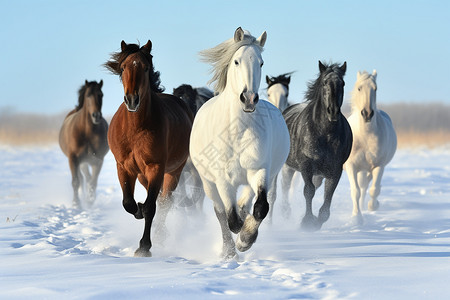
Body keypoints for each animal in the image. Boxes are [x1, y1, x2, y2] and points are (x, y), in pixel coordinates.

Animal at [58, 79, 108, 209]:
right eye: (88, 95)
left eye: (101, 95)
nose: (96, 116)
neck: (87, 132)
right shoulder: (73, 159)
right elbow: (76, 181)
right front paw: (76, 203)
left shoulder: (98, 160)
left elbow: (93, 182)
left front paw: (90, 200)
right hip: (81, 162)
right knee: (81, 178)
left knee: (88, 178)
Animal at [105, 40, 193, 258]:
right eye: (123, 67)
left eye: (145, 67)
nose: (132, 100)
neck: (136, 128)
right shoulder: (124, 167)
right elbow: (128, 202)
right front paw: (138, 209)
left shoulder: (156, 167)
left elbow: (152, 207)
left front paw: (144, 246)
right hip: (143, 175)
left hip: (173, 172)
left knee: (164, 201)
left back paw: (160, 233)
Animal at [189, 27, 288, 258]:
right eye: (236, 61)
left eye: (261, 62)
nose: (249, 98)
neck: (237, 132)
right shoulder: (222, 180)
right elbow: (231, 219)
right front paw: (239, 241)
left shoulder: (259, 170)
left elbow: (260, 208)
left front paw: (246, 239)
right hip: (208, 183)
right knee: (220, 213)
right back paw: (228, 251)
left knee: (246, 202)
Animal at [284, 60, 354, 230]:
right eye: (324, 83)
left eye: (342, 83)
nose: (333, 111)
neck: (325, 133)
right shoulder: (306, 165)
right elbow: (308, 191)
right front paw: (307, 221)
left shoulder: (335, 170)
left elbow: (328, 196)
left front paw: (316, 221)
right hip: (287, 167)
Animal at [344, 70, 398, 224]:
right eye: (359, 88)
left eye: (375, 88)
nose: (367, 113)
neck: (365, 136)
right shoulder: (351, 165)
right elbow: (355, 191)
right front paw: (357, 217)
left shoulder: (379, 166)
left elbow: (374, 190)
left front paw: (373, 206)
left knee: (366, 187)